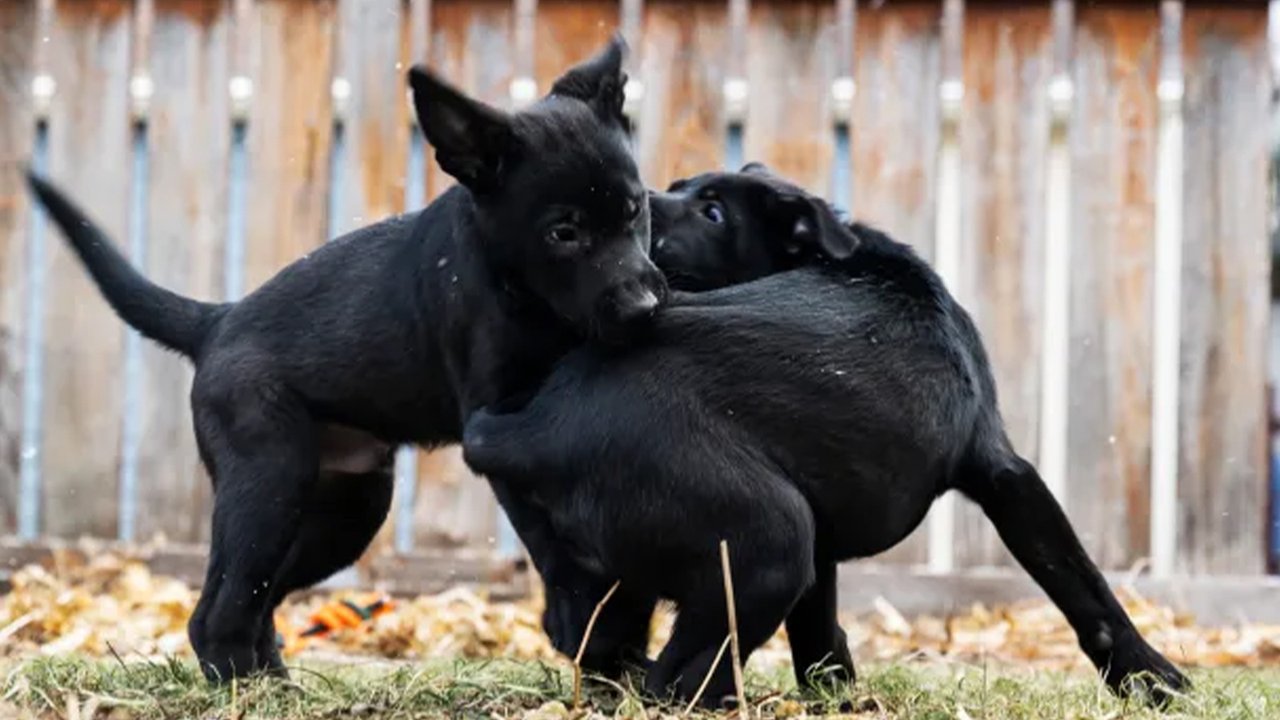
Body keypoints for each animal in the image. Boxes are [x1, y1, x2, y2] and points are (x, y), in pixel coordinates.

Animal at [24, 36, 665, 681]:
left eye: (635, 209)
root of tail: (217, 322)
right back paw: (245, 688)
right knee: (216, 609)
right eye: (564, 233)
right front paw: (590, 626)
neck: (521, 288)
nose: (644, 307)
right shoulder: (500, 419)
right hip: (268, 481)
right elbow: (550, 536)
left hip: (347, 508)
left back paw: (272, 679)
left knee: (261, 596)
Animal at [463, 165, 1187, 702]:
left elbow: (818, 631)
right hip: (769, 542)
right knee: (676, 682)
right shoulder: (1005, 472)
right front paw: (1153, 679)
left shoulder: (827, 531)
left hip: (610, 568)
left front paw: (835, 694)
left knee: (590, 636)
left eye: (712, 210)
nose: (633, 210)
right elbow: (1084, 588)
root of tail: (535, 429)